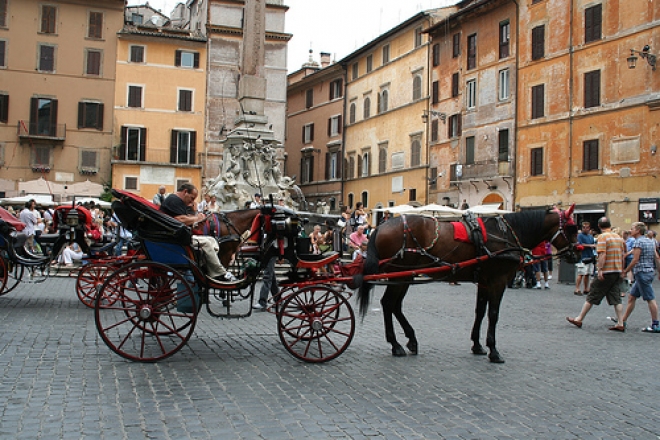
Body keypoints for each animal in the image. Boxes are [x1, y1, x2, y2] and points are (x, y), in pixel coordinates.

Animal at [356, 206, 576, 364]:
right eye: (572, 228)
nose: (576, 253)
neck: (505, 234)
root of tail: (380, 227)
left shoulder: (484, 282)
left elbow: (480, 312)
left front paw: (478, 345)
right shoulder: (498, 281)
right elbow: (493, 314)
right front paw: (493, 350)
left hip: (404, 275)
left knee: (394, 305)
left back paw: (409, 340)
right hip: (399, 274)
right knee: (388, 304)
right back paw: (396, 344)